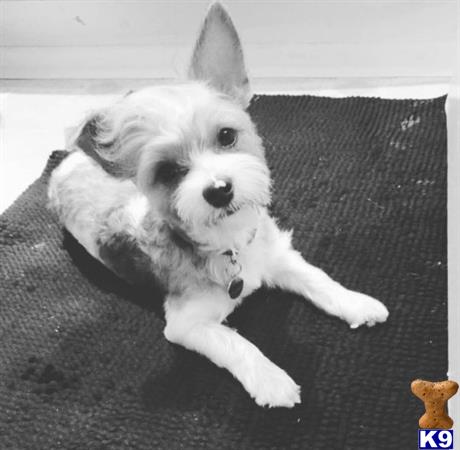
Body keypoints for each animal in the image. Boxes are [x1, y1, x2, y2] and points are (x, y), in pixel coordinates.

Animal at [49, 0, 388, 408]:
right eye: (167, 171)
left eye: (226, 135)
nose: (219, 189)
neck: (230, 243)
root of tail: (67, 161)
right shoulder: (188, 324)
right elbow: (235, 343)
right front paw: (271, 380)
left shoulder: (276, 255)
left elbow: (317, 278)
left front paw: (356, 302)